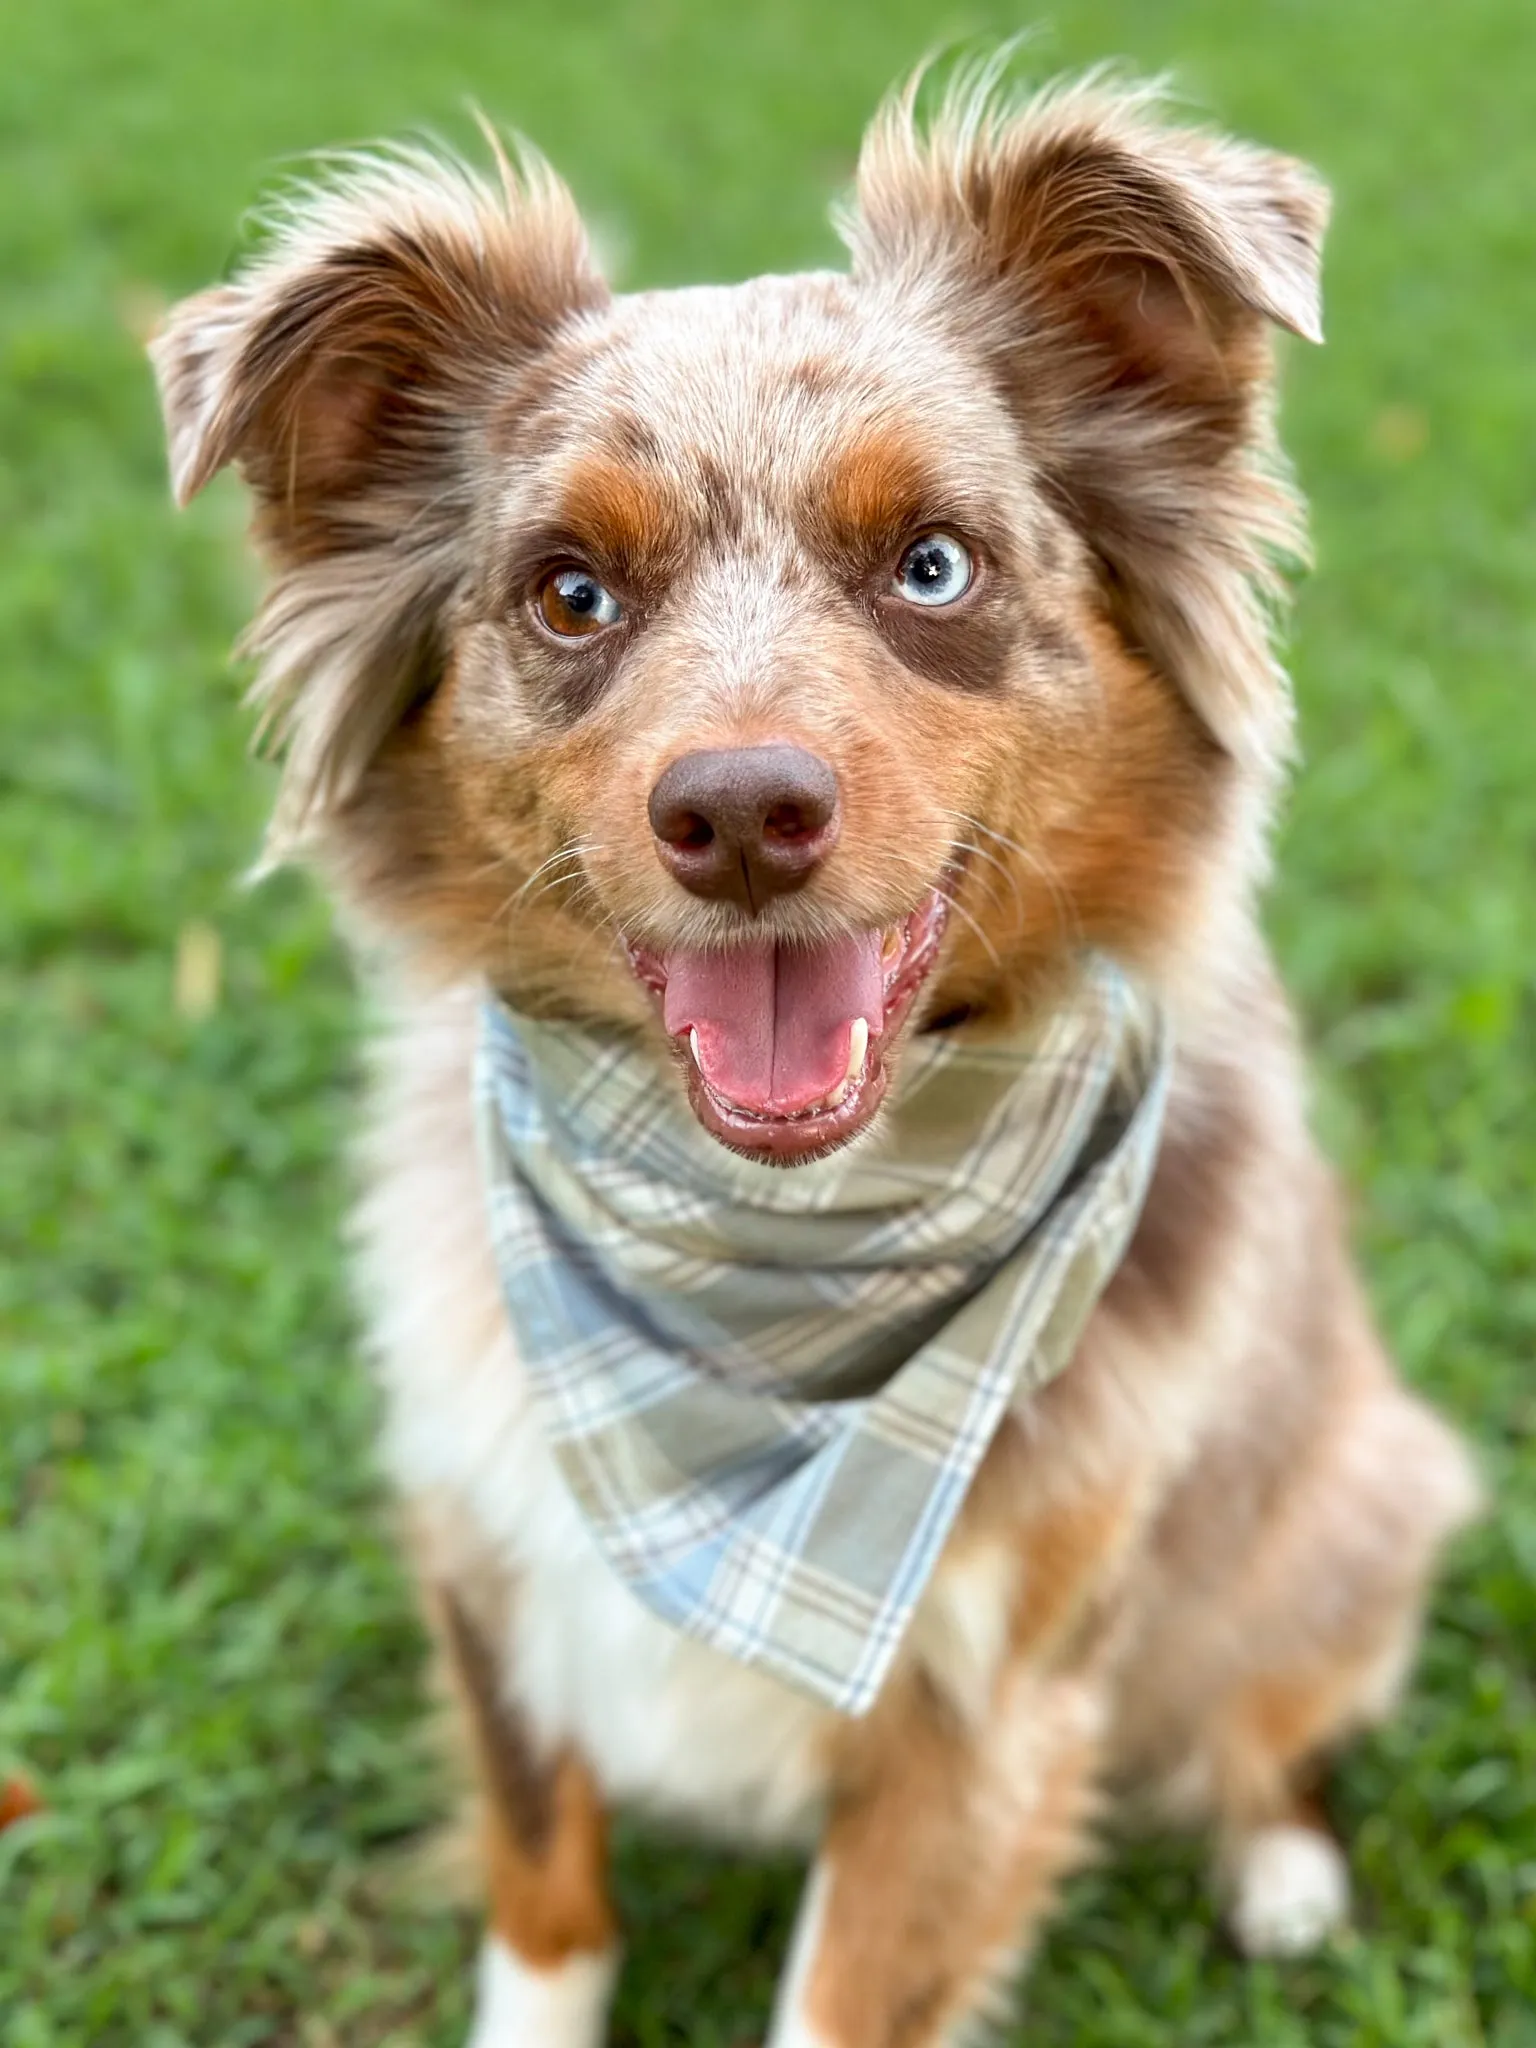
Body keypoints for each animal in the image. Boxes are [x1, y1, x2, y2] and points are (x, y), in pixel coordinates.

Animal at [153, 68, 1482, 2048]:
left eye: (930, 564)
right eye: (569, 593)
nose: (739, 815)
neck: (759, 1268)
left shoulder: (990, 1701)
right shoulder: (490, 1564)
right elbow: (542, 1886)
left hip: (1352, 1496)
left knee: (1275, 1712)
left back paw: (1286, 1872)